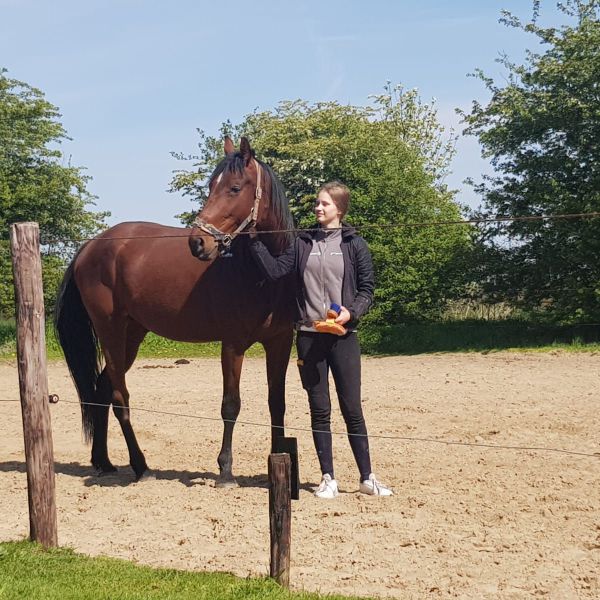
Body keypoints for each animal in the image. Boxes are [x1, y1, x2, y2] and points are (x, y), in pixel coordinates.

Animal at [55, 136, 294, 482]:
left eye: (234, 188)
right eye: (210, 186)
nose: (197, 243)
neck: (262, 273)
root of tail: (90, 246)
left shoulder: (280, 342)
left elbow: (277, 402)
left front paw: (278, 462)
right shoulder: (233, 344)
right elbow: (230, 405)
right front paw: (225, 470)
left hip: (131, 334)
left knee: (101, 389)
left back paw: (103, 462)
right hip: (110, 330)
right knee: (119, 397)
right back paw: (140, 466)